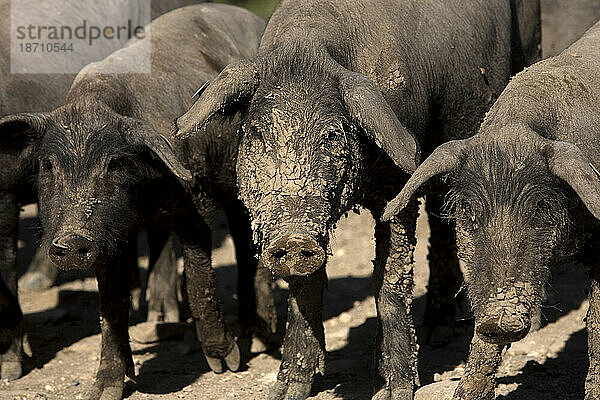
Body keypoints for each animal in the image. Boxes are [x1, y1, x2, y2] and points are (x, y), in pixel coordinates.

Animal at [0, 5, 274, 400]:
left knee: (246, 246)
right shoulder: (107, 236)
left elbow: (199, 274)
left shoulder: (195, 202)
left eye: (115, 163)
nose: (70, 241)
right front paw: (105, 389)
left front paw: (226, 364)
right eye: (47, 166)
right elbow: (110, 303)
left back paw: (260, 337)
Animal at [175, 0, 544, 398]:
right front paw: (287, 390)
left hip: (525, 49)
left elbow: (390, 283)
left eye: (332, 136)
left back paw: (443, 334)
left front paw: (395, 391)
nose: (294, 238)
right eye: (257, 133)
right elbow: (305, 289)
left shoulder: (398, 184)